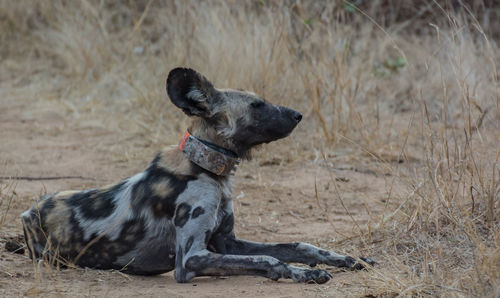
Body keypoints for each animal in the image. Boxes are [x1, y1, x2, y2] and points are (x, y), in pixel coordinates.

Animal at [22, 68, 376, 284]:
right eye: (257, 105)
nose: (298, 115)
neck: (207, 168)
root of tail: (27, 213)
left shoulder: (227, 242)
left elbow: (301, 245)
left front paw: (346, 259)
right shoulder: (193, 258)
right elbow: (269, 259)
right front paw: (301, 274)